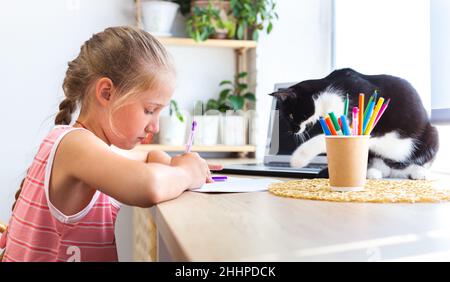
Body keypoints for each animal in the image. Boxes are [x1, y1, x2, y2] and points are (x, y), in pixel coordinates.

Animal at [270, 67, 440, 180]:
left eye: (290, 115)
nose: (293, 131)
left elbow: (323, 138)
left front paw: (299, 157)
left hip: (432, 134)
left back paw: (419, 173)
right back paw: (373, 173)